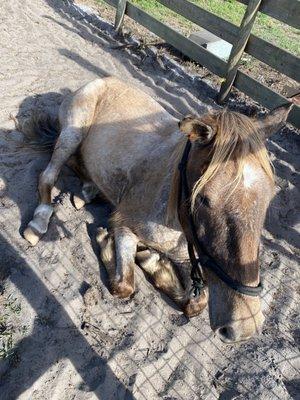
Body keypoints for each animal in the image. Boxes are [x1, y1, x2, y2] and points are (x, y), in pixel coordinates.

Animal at [20, 78, 290, 344]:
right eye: (203, 198)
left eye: (268, 197)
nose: (244, 327)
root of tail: (100, 80)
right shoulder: (124, 227)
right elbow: (124, 285)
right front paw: (112, 244)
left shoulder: (188, 258)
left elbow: (196, 305)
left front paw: (154, 263)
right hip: (73, 132)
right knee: (49, 173)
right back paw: (39, 222)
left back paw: (87, 190)